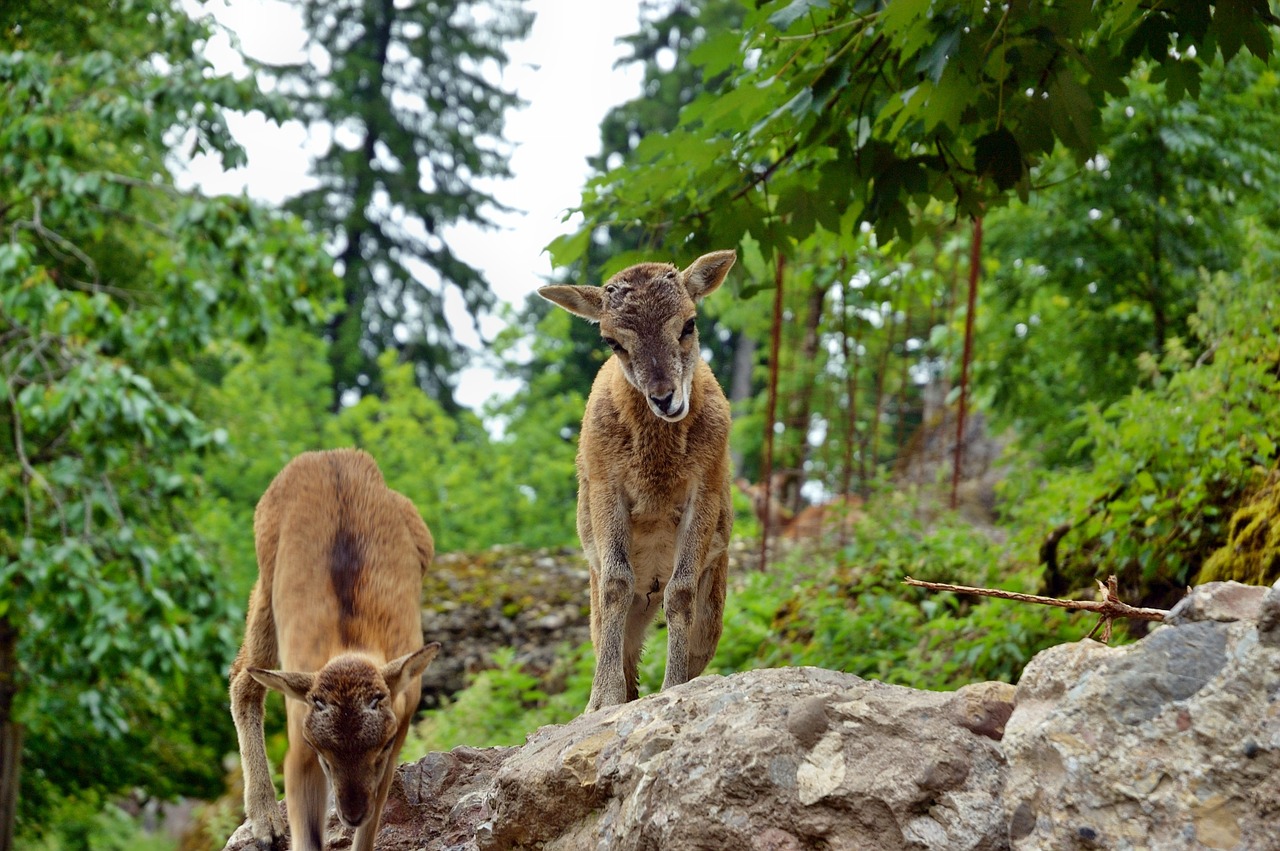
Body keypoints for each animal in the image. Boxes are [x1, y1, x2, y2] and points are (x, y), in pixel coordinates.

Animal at [224, 447, 435, 844]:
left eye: (380, 747)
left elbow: (369, 832)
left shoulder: (397, 732)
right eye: (323, 752)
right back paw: (265, 822)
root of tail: (329, 454)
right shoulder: (299, 741)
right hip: (266, 587)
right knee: (243, 678)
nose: (350, 813)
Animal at [540, 246, 742, 711]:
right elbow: (616, 583)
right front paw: (602, 701)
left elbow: (681, 593)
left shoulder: (704, 486)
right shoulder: (606, 484)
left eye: (689, 323)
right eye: (612, 341)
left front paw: (672, 687)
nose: (665, 398)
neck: (657, 470)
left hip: (714, 604)